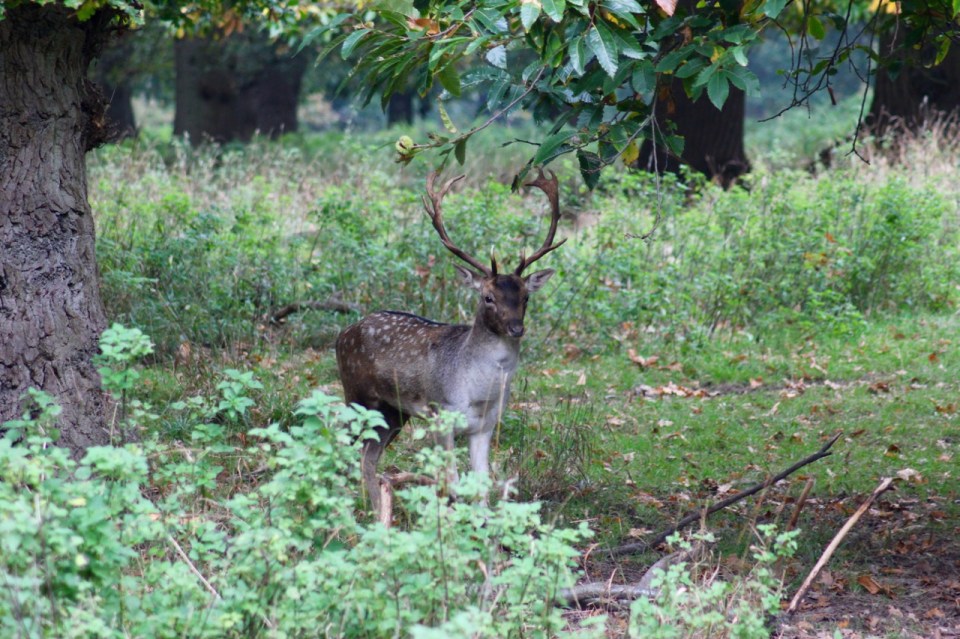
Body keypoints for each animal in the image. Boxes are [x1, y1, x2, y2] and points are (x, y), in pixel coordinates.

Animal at [336, 169, 565, 516]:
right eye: (488, 297)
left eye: (526, 297)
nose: (516, 328)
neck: (479, 393)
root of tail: (342, 334)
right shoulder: (440, 417)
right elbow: (452, 485)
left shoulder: (485, 426)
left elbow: (482, 486)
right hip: (357, 395)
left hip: (392, 411)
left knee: (368, 457)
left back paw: (379, 512)